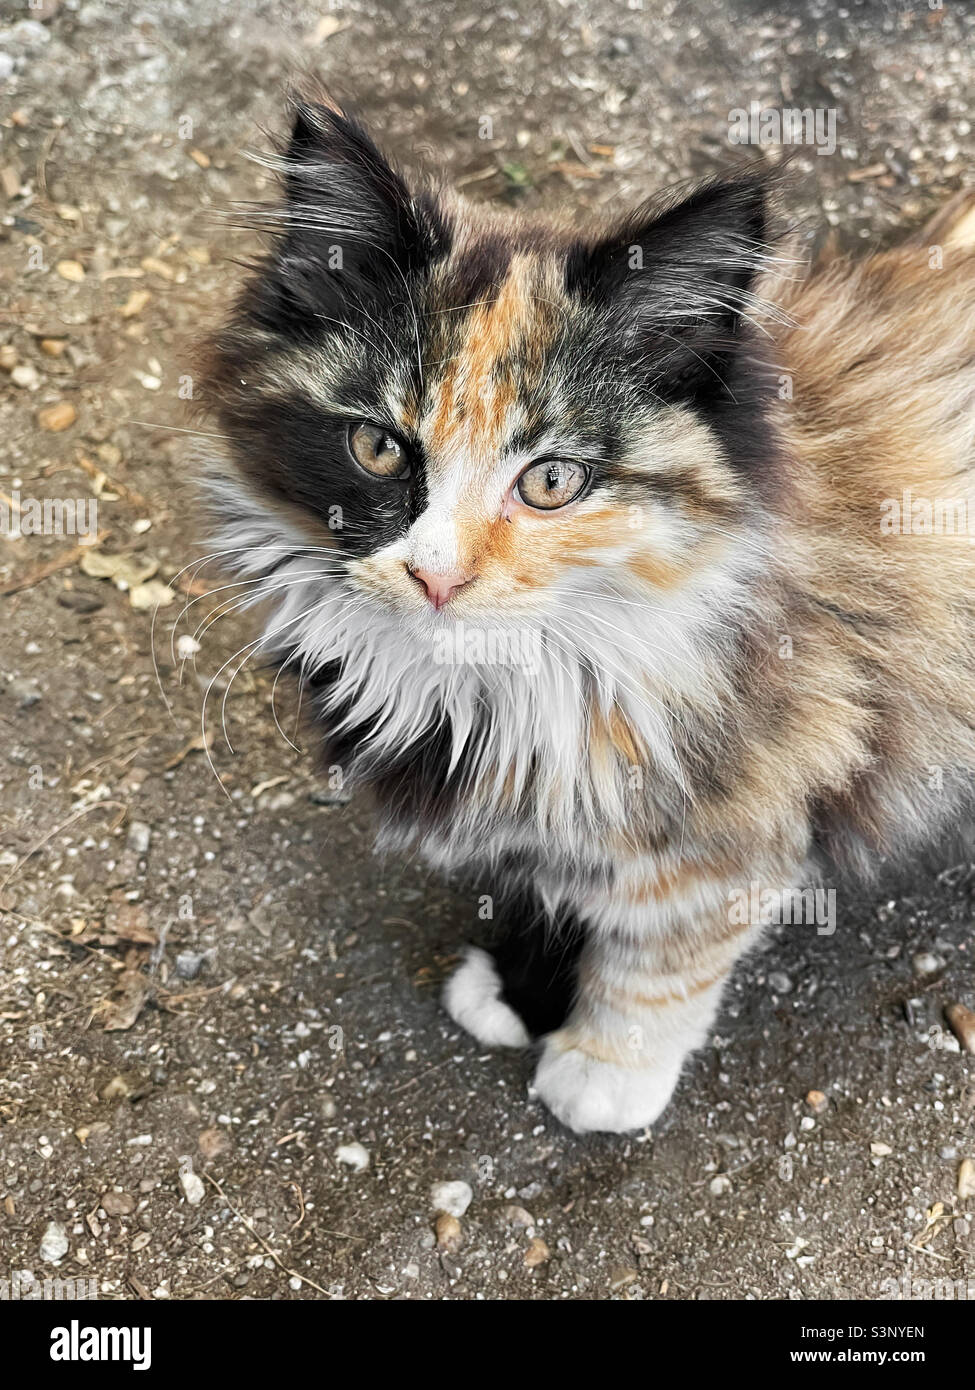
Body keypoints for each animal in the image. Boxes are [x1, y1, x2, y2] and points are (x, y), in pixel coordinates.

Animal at [201, 92, 973, 1128]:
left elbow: (661, 950)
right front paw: (521, 990)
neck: (501, 690)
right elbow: (545, 883)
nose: (435, 577)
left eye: (552, 481)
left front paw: (605, 1068)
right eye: (376, 448)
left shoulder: (741, 809)